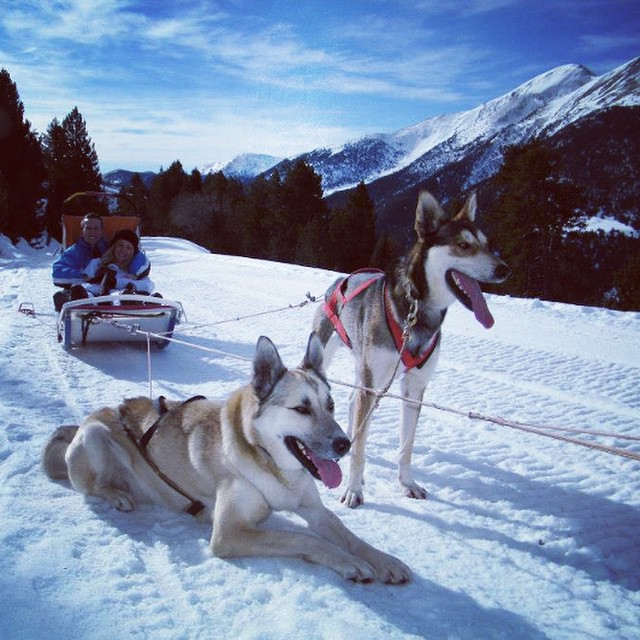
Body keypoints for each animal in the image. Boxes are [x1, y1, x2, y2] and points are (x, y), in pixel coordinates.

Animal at [42, 336, 410, 584]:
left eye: (330, 406)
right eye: (302, 409)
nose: (345, 444)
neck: (271, 466)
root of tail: (91, 417)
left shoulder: (315, 510)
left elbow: (350, 535)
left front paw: (384, 561)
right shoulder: (229, 533)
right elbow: (305, 539)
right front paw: (348, 562)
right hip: (95, 437)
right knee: (91, 486)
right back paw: (117, 495)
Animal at [312, 188, 508, 508]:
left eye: (488, 244)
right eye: (463, 245)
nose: (504, 269)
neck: (416, 311)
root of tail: (343, 279)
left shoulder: (414, 389)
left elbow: (406, 446)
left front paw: (406, 484)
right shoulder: (373, 383)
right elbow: (361, 450)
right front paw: (353, 489)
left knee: (354, 402)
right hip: (333, 358)